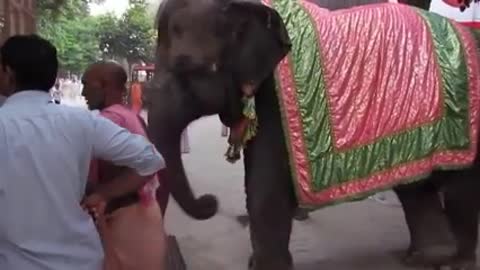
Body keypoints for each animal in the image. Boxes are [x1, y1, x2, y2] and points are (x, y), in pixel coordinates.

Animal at [146, 0, 480, 270]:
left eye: (187, 69)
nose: (209, 202)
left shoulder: (274, 95)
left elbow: (265, 180)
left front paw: (266, 268)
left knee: (459, 187)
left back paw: (456, 262)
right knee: (416, 185)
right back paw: (426, 258)